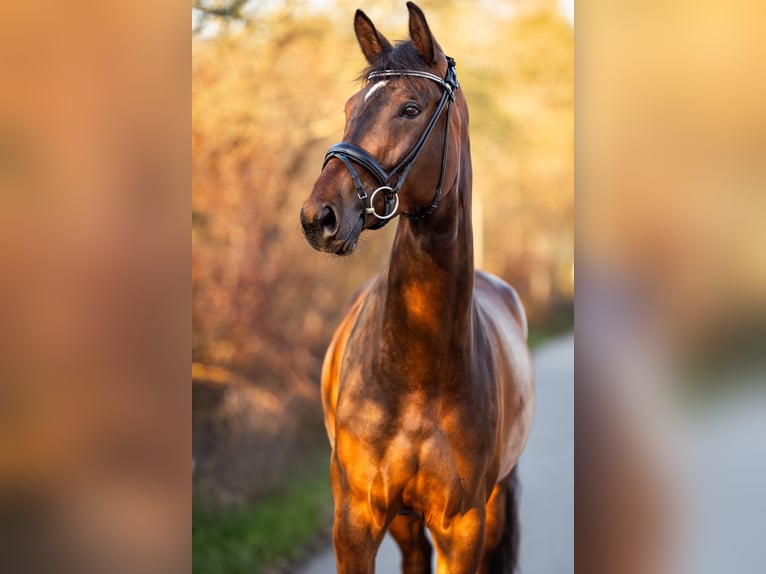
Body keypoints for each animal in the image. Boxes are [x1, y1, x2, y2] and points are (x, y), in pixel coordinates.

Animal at [299, 3, 534, 572]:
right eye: (349, 107)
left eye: (409, 108)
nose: (318, 217)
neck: (416, 375)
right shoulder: (355, 524)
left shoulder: (462, 528)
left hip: (490, 508)